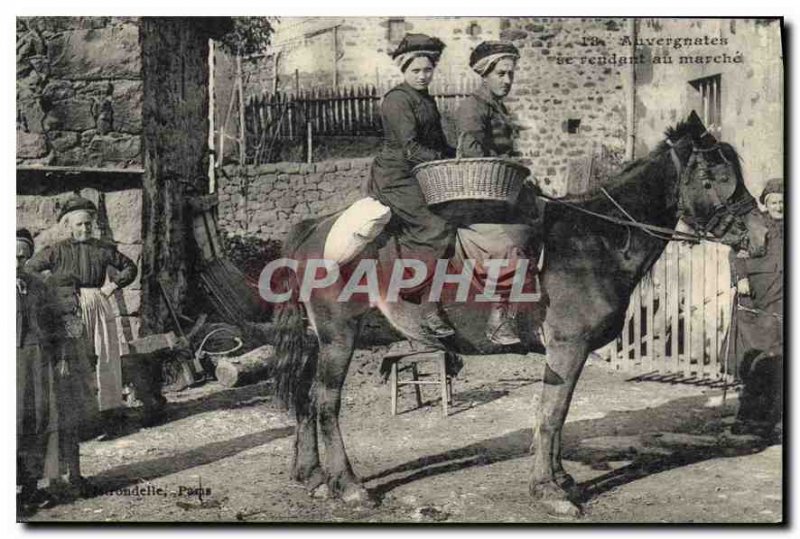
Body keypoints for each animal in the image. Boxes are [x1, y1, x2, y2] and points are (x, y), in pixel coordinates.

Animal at [268, 112, 756, 516]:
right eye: (714, 174)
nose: (760, 233)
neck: (595, 238)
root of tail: (313, 227)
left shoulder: (570, 354)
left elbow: (558, 414)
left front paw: (561, 479)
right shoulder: (566, 348)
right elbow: (551, 414)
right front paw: (549, 491)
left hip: (318, 340)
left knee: (305, 401)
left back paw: (312, 476)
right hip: (339, 338)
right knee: (325, 403)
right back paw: (349, 486)